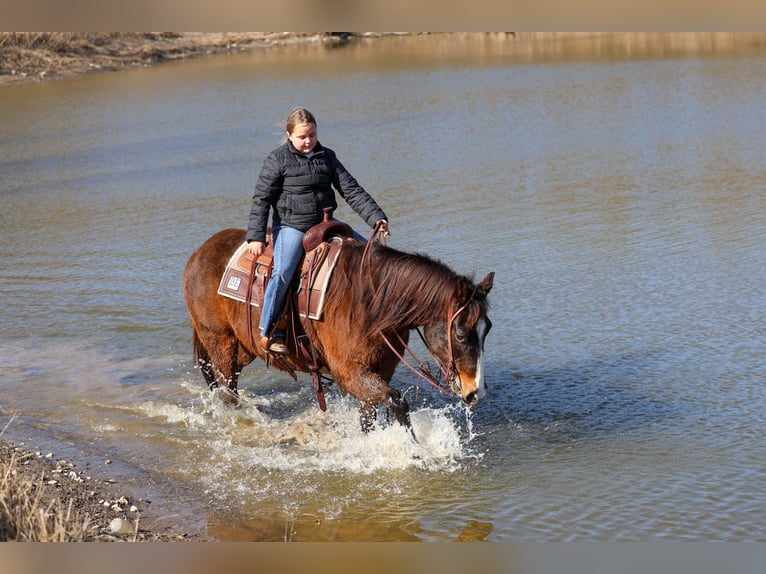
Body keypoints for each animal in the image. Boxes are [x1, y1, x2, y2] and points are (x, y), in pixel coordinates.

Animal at [182, 227, 494, 432]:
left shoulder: (380, 369)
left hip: (242, 349)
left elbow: (369, 416)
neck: (371, 302)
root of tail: (199, 254)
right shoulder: (349, 373)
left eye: (487, 330)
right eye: (460, 334)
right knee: (227, 392)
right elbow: (397, 403)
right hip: (220, 343)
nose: (475, 392)